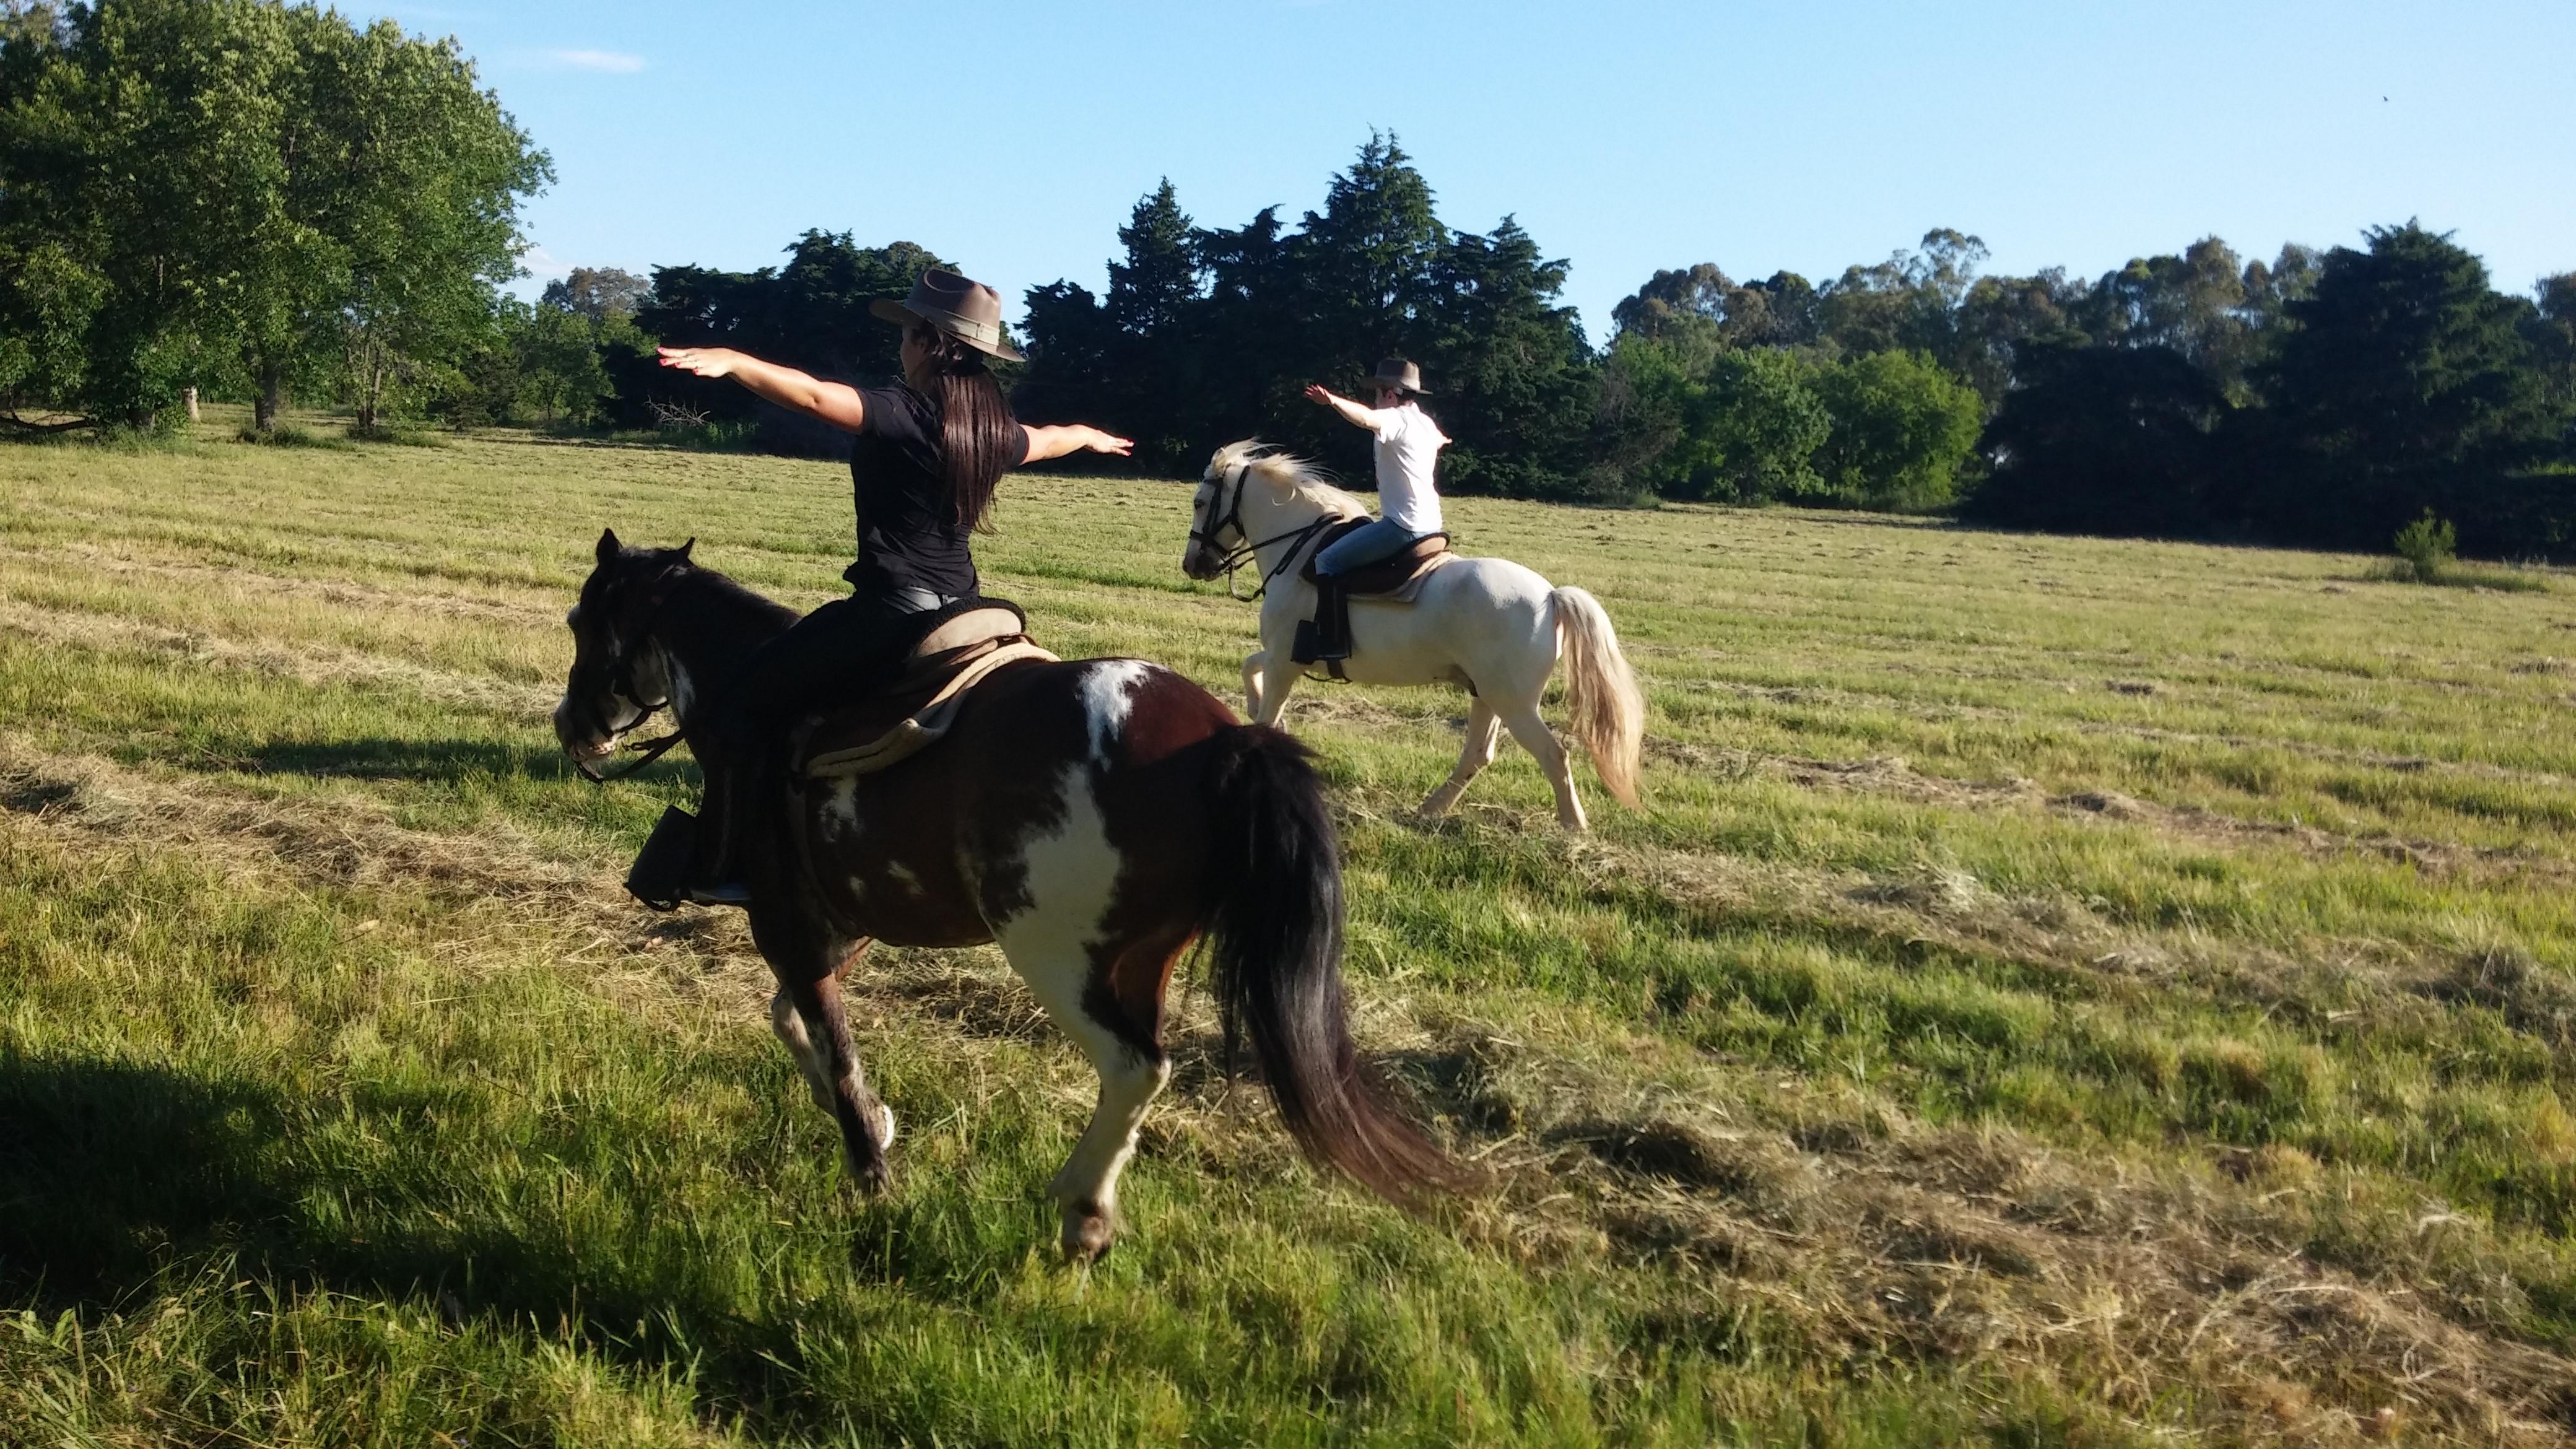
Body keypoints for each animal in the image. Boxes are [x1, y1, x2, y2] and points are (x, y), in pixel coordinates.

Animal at [551, 528, 1462, 1260]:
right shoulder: (835, 928)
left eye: (581, 623)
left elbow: (830, 1046)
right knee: (1144, 1068)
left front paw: (871, 1169)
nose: (572, 727)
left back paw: (1083, 1208)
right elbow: (793, 1023)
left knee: (1136, 1066)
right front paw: (876, 1120)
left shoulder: (789, 928)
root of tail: (1226, 741)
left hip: (1053, 956)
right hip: (1140, 959)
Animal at [1181, 441, 1647, 832]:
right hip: (1487, 695)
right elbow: (1249, 669)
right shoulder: (1285, 656)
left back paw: (1573, 829)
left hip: (1514, 704)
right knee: (1479, 754)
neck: (1299, 552)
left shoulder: (1284, 661)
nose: (1193, 564)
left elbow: (1263, 710)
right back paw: (1431, 810)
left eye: (1200, 502)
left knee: (1553, 755)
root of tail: (1550, 596)